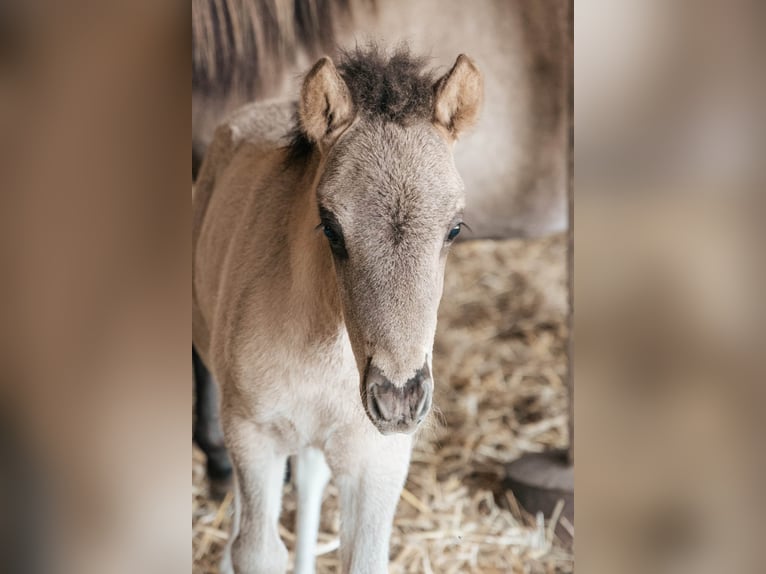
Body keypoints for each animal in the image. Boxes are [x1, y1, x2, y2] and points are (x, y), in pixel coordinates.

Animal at [192, 46, 482, 573]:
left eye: (454, 228)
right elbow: (256, 549)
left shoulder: (379, 456)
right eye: (330, 227)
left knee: (310, 476)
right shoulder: (252, 432)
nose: (398, 399)